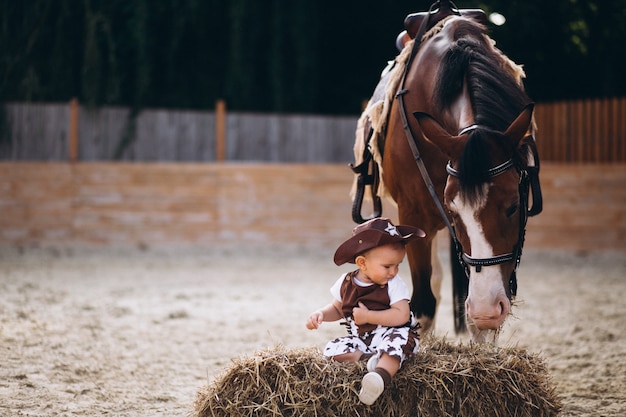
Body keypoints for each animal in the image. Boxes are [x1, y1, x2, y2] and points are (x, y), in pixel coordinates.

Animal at [354, 4, 540, 342]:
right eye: (454, 213)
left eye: (513, 207)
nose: (486, 307)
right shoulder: (413, 216)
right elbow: (422, 305)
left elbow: (479, 327)